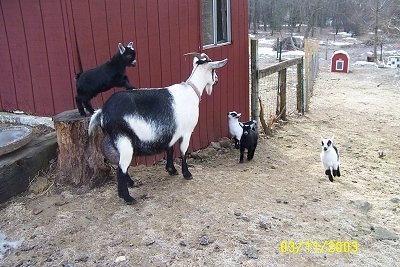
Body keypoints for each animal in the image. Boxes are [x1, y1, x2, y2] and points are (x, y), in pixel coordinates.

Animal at [88, 52, 227, 204]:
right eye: (213, 70)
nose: (217, 80)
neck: (191, 90)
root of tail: (103, 112)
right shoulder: (186, 132)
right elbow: (183, 151)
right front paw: (187, 174)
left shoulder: (171, 132)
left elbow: (170, 149)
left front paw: (171, 170)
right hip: (123, 139)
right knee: (121, 169)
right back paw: (128, 197)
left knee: (121, 165)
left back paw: (130, 184)